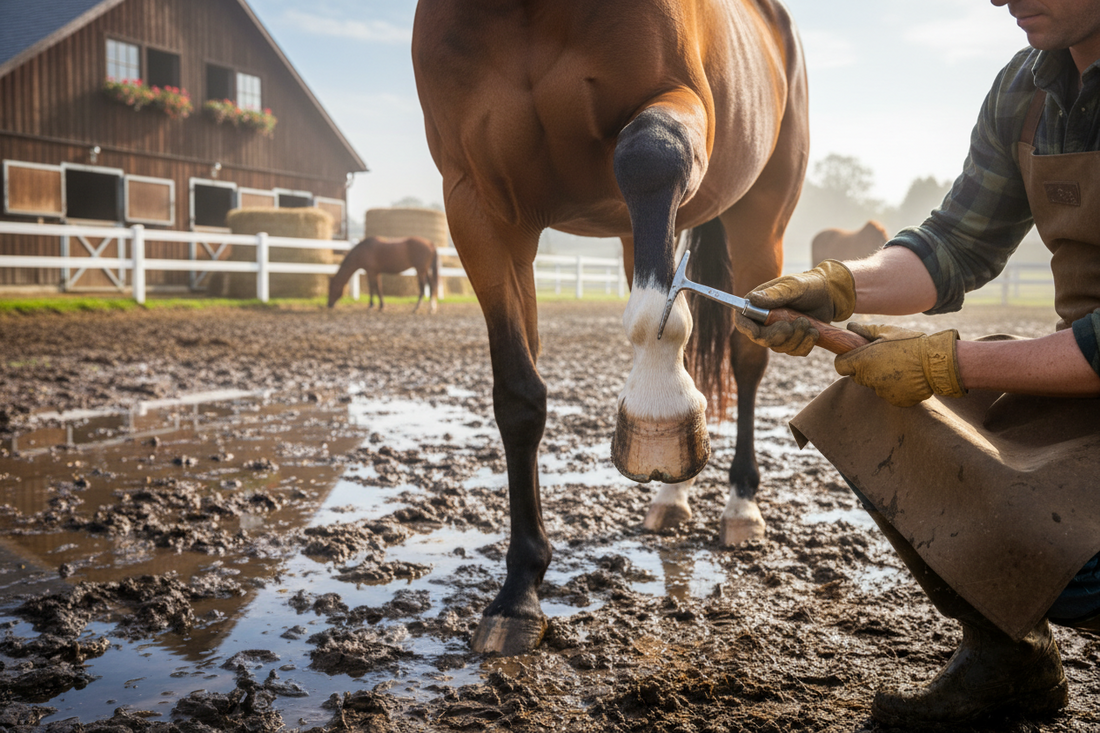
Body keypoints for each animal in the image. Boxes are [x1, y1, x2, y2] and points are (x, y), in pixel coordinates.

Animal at [413, 0, 808, 654]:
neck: (529, 13)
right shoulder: (477, 203)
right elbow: (518, 397)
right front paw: (518, 594)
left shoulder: (674, 101)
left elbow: (650, 154)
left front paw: (660, 405)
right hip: (636, 227)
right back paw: (671, 497)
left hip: (762, 218)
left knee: (747, 359)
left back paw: (740, 506)